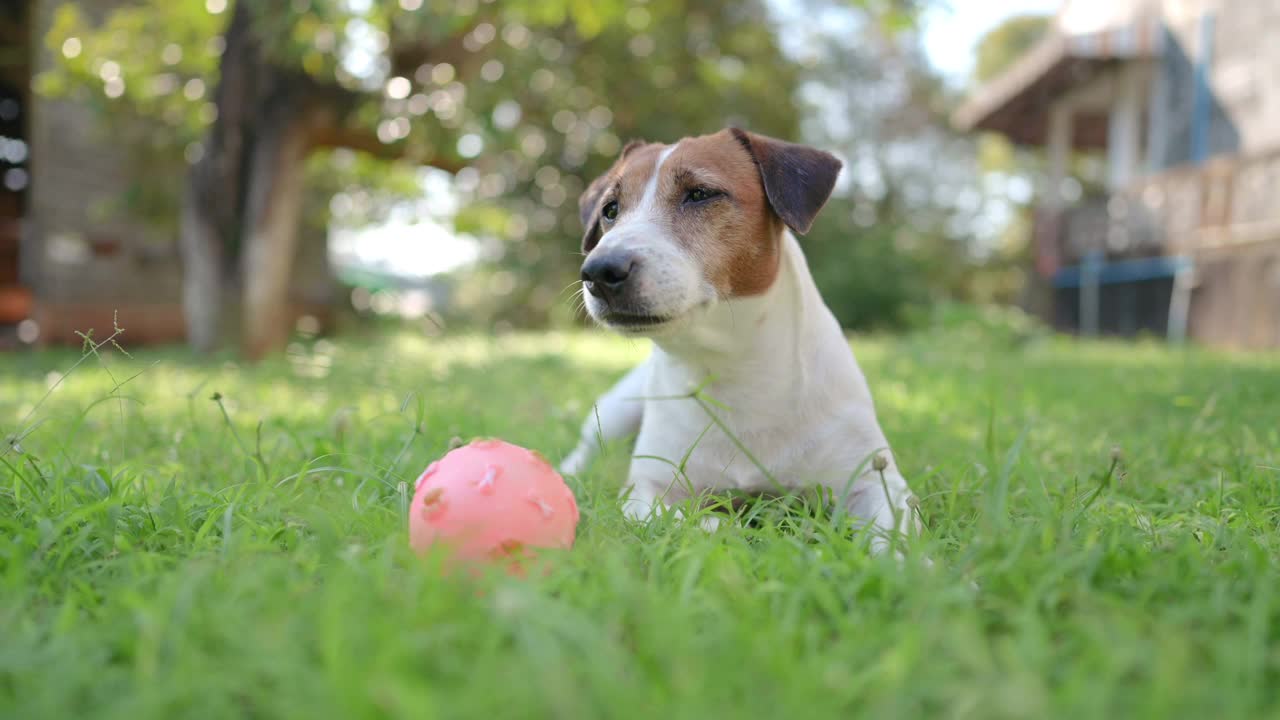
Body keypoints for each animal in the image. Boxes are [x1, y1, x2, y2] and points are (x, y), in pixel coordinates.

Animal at [560, 127, 921, 548]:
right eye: (610, 210)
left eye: (700, 193)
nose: (598, 271)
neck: (733, 365)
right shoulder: (649, 490)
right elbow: (688, 520)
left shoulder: (875, 481)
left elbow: (892, 536)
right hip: (619, 407)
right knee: (586, 447)